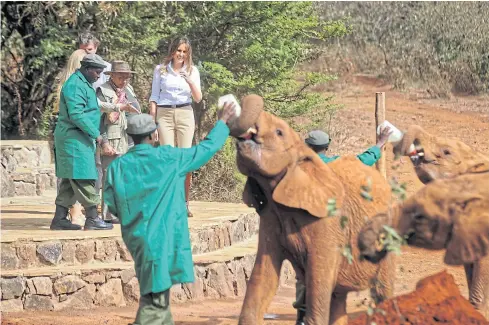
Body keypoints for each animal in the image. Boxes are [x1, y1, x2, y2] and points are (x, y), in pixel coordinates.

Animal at [231, 94, 394, 324]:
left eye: (279, 132)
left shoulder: (328, 226)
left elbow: (318, 282)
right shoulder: (271, 218)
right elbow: (263, 276)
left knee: (382, 291)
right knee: (338, 297)